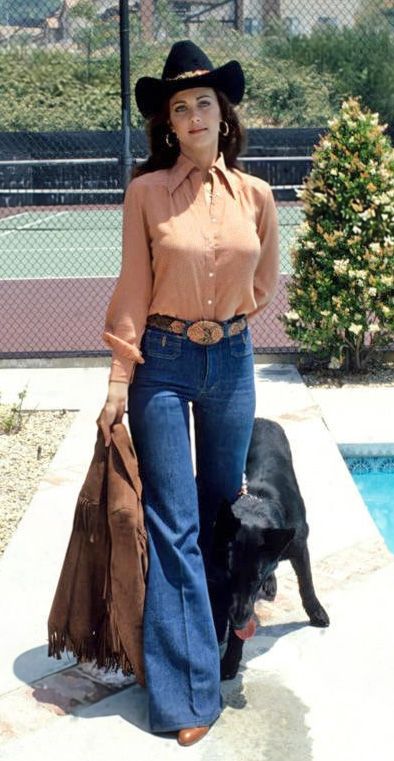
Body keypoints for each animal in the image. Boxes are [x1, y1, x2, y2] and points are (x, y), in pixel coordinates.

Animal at [212, 418, 330, 680]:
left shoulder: (299, 547)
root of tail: (260, 419)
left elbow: (306, 584)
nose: (237, 621)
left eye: (254, 580)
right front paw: (231, 659)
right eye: (229, 575)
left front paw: (316, 612)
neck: (257, 504)